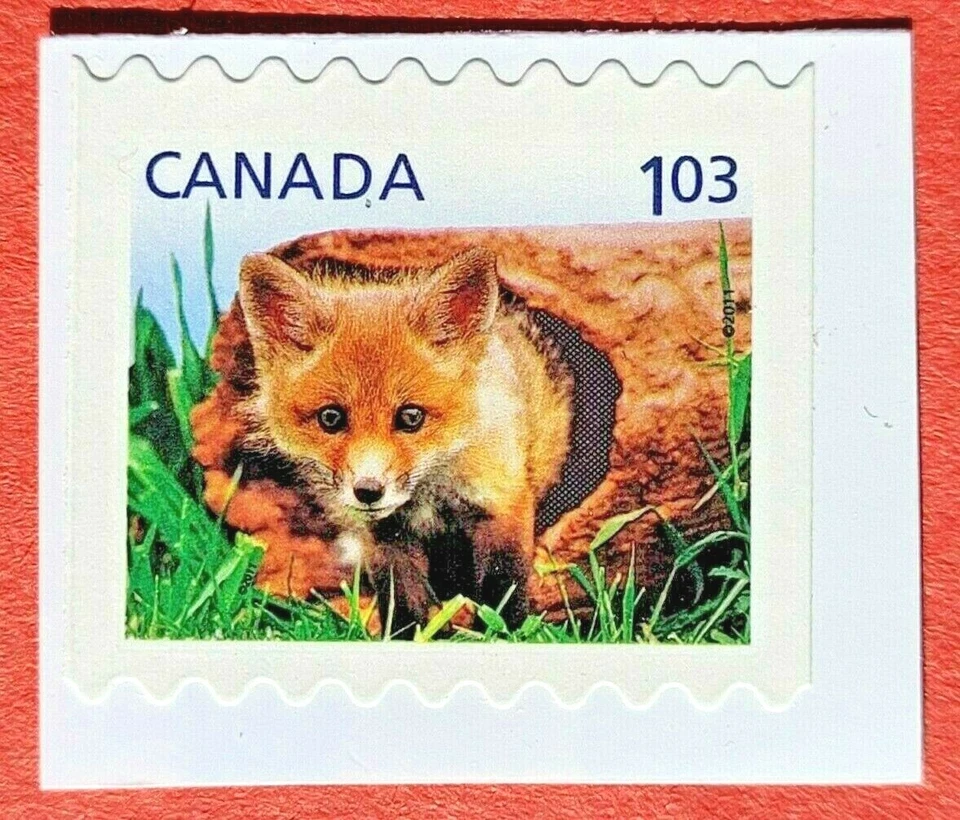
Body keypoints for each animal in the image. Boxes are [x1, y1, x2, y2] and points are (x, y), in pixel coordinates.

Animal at [234, 245, 573, 636]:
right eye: (331, 418)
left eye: (411, 417)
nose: (368, 490)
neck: (429, 496)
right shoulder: (386, 538)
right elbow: (403, 607)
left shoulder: (502, 504)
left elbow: (503, 593)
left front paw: (503, 636)